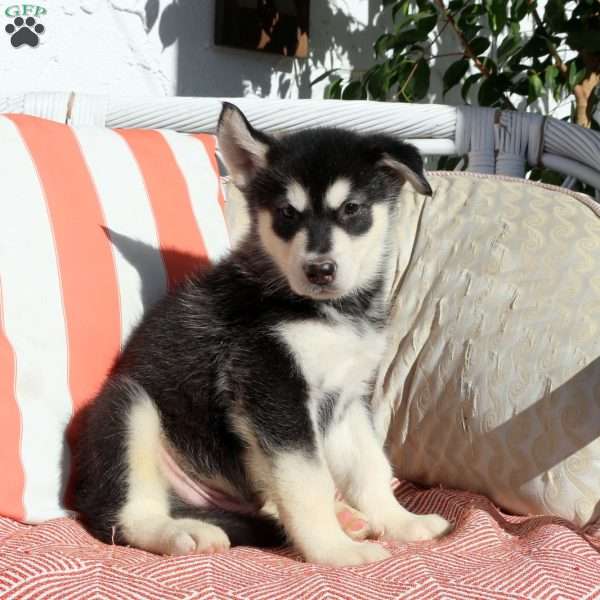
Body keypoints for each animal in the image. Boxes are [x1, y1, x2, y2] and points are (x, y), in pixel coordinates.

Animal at [74, 103, 450, 568]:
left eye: (352, 208)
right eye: (287, 213)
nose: (319, 270)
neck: (328, 312)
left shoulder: (346, 398)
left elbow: (370, 467)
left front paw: (399, 521)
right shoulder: (271, 386)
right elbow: (308, 480)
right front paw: (333, 550)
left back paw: (345, 517)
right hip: (128, 406)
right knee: (121, 514)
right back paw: (180, 531)